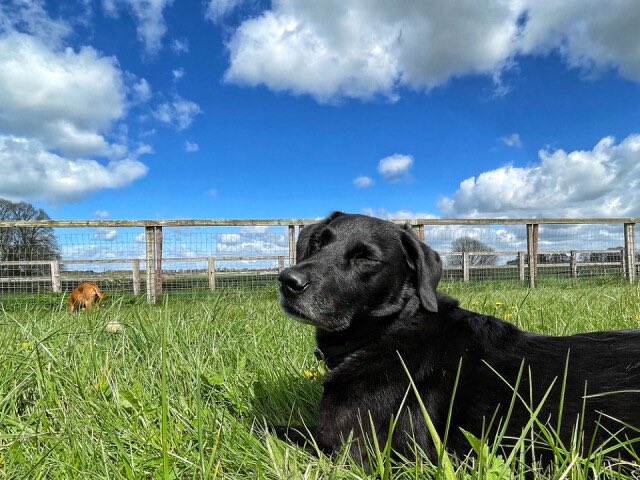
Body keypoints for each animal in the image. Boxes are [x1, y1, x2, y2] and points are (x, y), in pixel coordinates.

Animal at [276, 212, 640, 466]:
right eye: (318, 242)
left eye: (366, 258)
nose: (287, 280)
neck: (391, 328)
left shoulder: (348, 447)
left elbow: (271, 427)